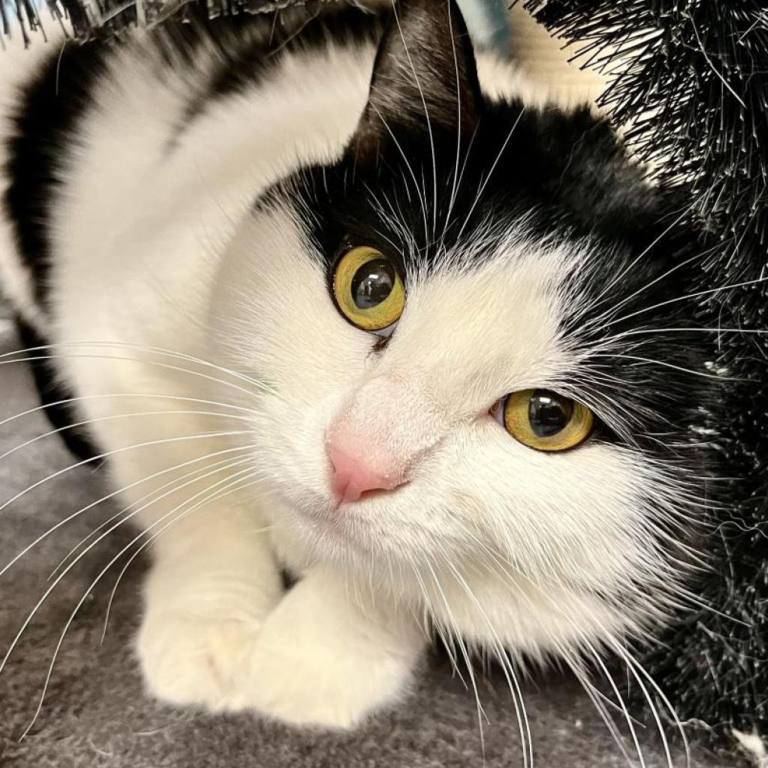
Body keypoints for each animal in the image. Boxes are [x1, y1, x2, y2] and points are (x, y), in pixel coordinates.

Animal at [0, 0, 756, 756]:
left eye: (547, 418)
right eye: (370, 287)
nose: (354, 464)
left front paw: (317, 659)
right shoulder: (126, 311)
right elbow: (191, 487)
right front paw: (209, 633)